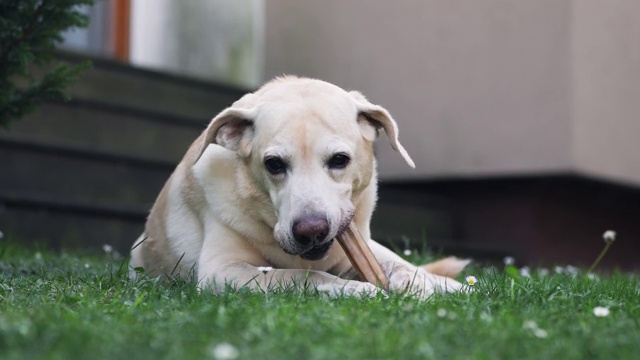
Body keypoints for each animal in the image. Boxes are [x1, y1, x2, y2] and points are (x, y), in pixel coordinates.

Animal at [131, 74, 470, 296]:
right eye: (274, 164)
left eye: (340, 160)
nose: (311, 231)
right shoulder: (223, 270)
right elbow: (305, 276)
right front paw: (362, 290)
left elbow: (400, 268)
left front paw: (418, 284)